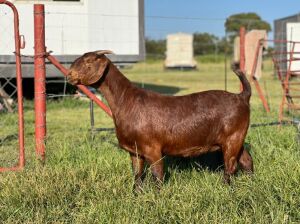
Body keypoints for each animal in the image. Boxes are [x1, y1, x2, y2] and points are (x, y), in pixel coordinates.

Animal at [68, 50, 253, 191]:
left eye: (88, 61)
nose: (69, 75)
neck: (126, 101)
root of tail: (242, 96)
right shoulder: (135, 150)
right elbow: (138, 174)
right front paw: (136, 194)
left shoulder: (152, 148)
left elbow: (157, 175)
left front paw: (157, 197)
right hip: (236, 138)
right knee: (246, 159)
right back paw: (250, 183)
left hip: (232, 137)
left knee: (230, 165)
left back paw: (225, 188)